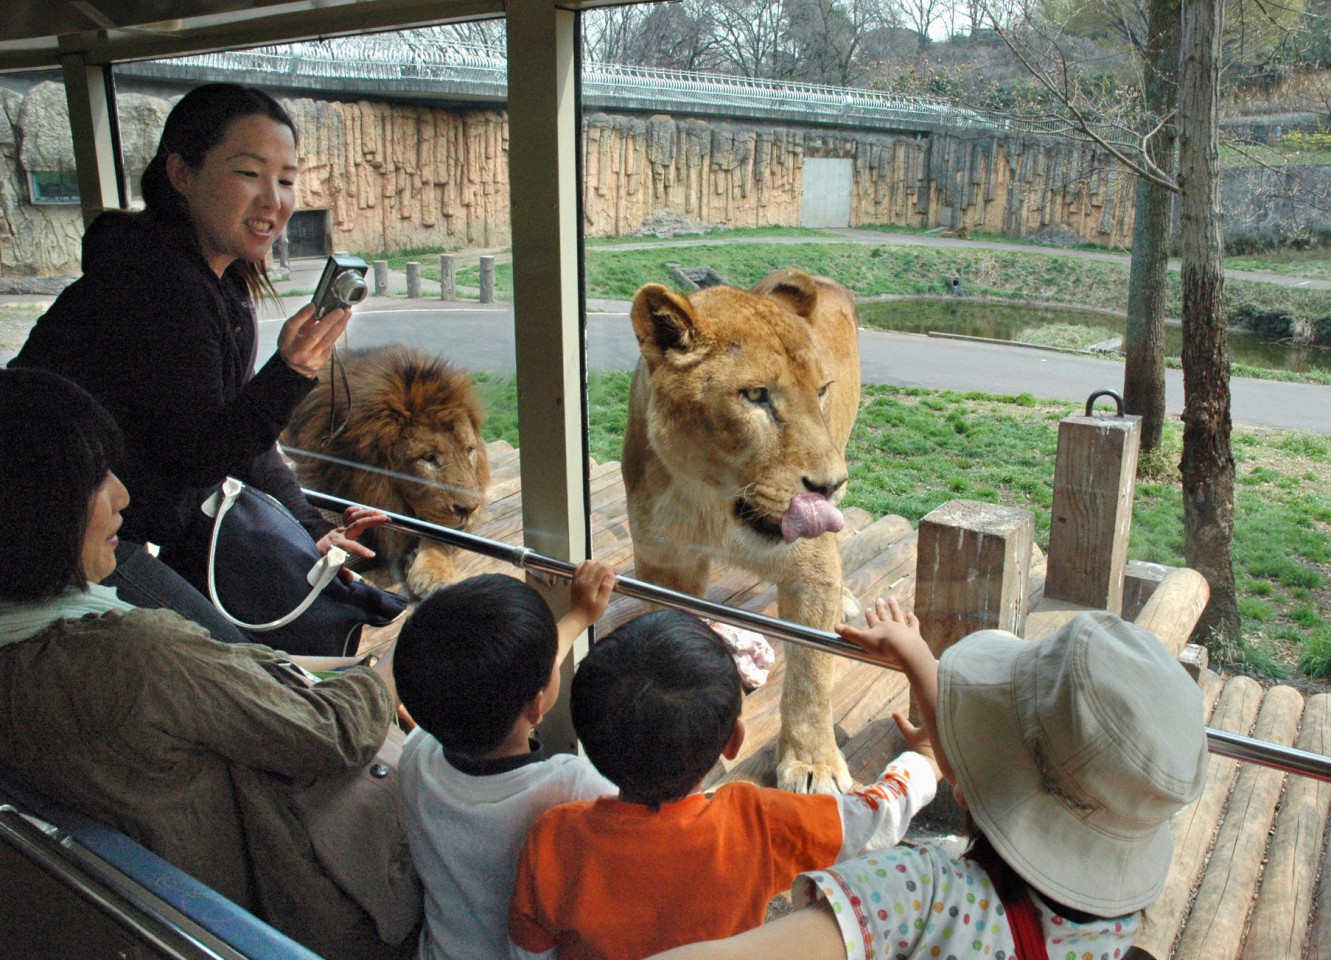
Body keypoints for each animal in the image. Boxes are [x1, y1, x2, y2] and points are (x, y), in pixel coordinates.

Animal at [625, 267, 862, 793]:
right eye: (755, 396)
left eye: (820, 391)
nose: (831, 485)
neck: (713, 501)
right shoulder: (663, 565)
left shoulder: (811, 568)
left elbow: (811, 672)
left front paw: (812, 761)